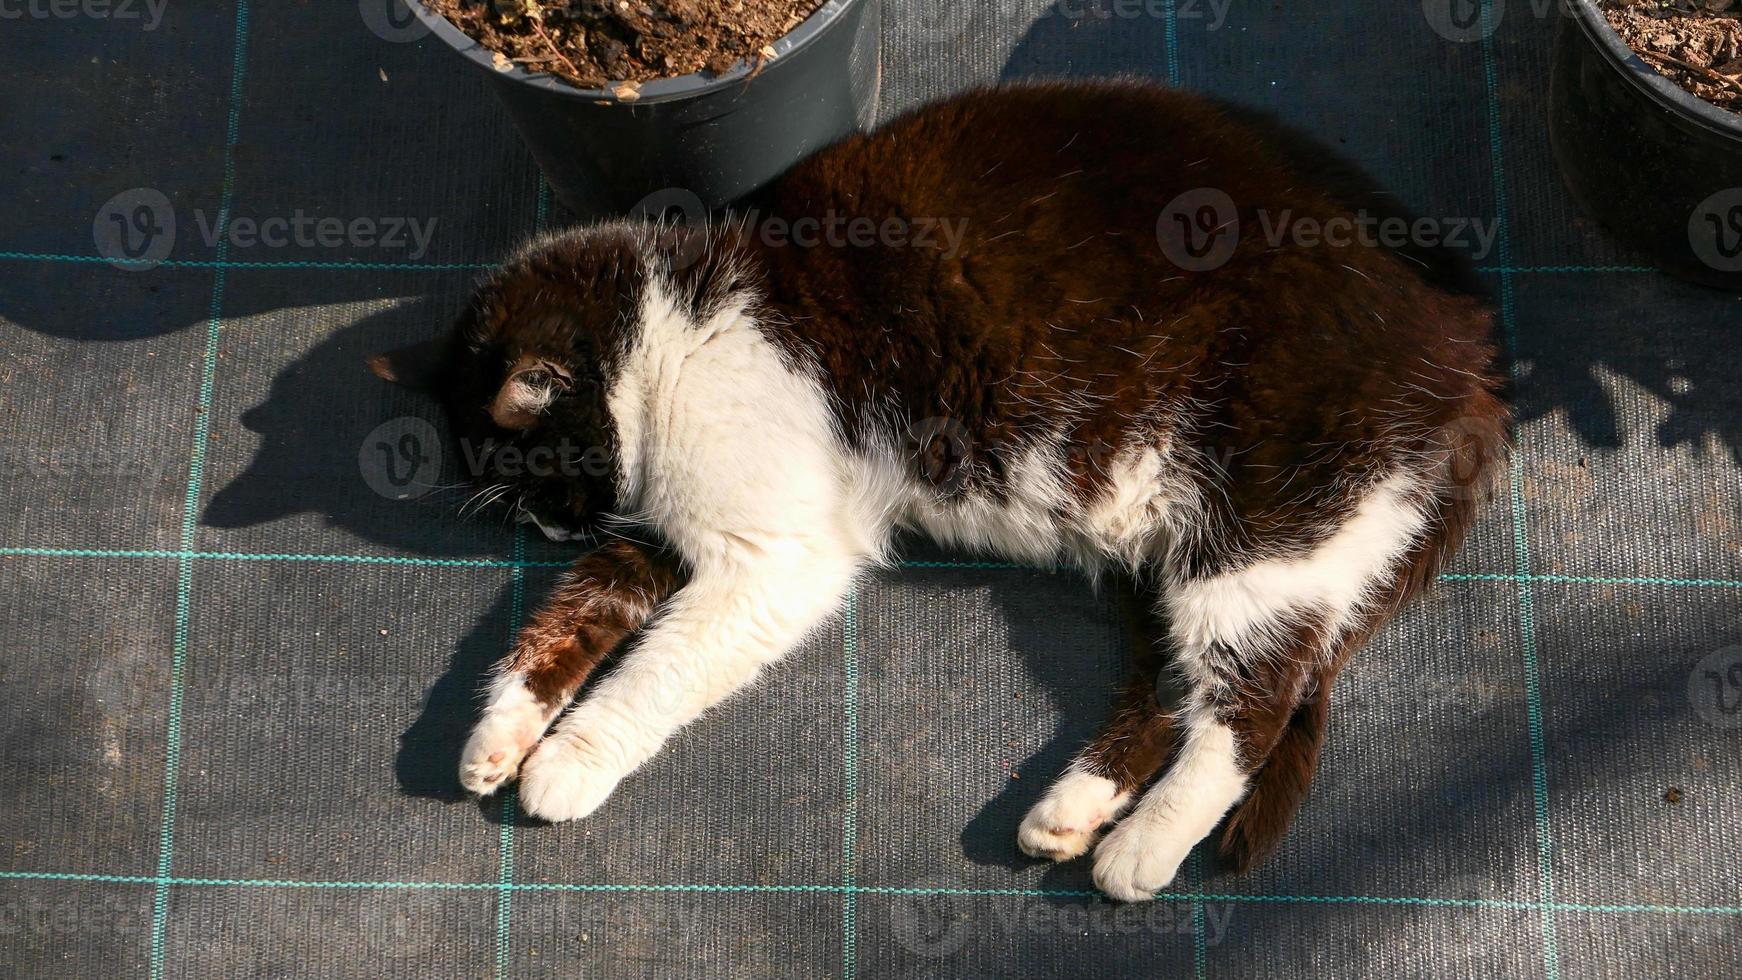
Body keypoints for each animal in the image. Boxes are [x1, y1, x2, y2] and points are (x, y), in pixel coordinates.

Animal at [371, 80, 1512, 898]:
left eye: (540, 475)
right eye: (524, 505)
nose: (558, 525)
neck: (672, 316)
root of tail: (1469, 349)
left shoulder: (771, 558)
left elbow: (654, 669)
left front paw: (565, 765)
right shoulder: (661, 530)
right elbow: (570, 617)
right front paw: (498, 737)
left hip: (1263, 521)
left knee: (1254, 701)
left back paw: (1138, 850)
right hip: (1167, 536)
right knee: (1169, 684)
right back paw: (1072, 809)